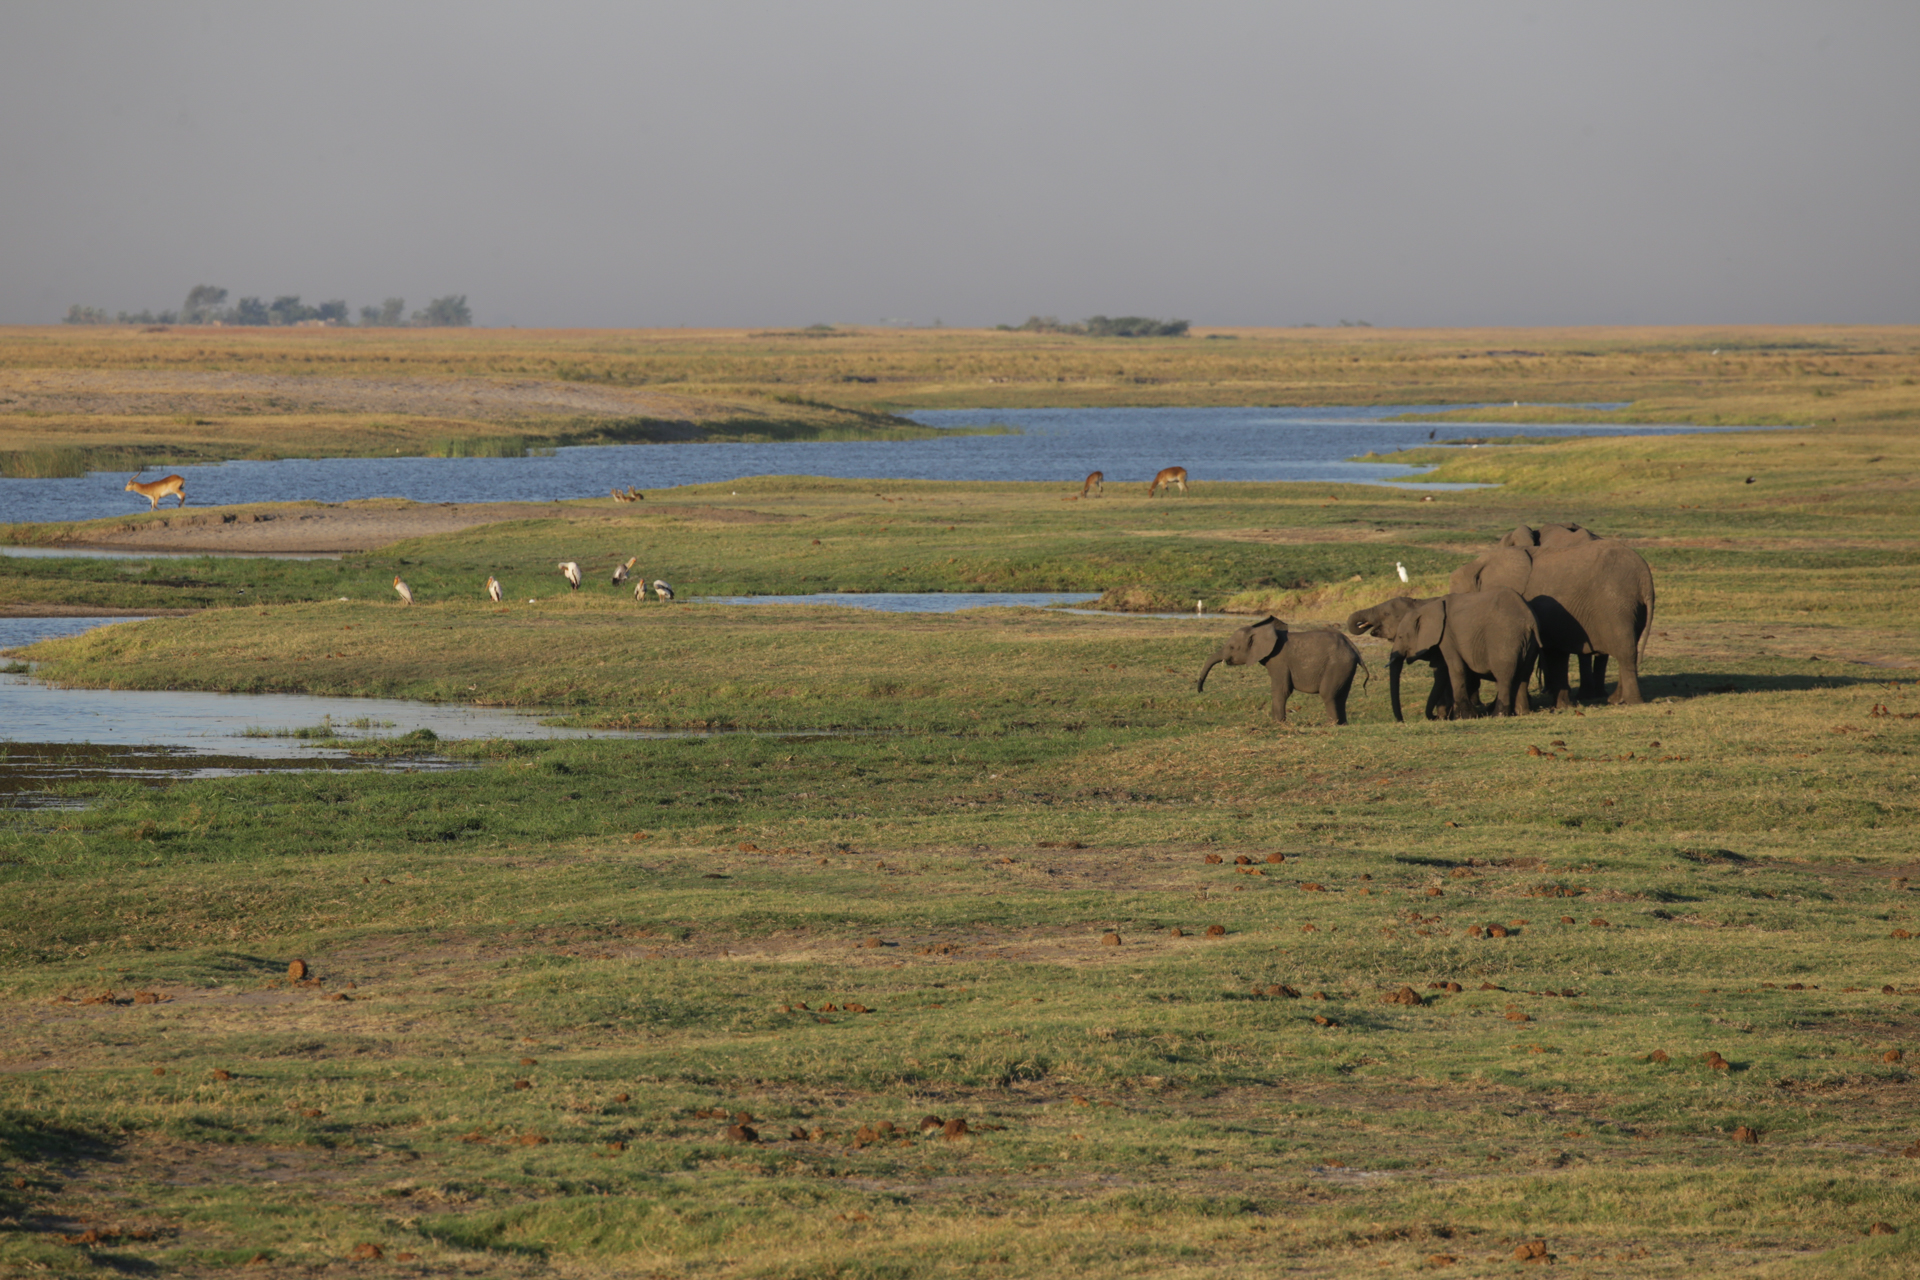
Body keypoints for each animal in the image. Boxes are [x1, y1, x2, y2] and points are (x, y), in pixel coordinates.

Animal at [1198, 617, 1367, 725]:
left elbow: (1282, 689)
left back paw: (1330, 725)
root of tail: (1353, 647)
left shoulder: (1279, 660)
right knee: (1341, 696)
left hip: (1337, 665)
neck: (1261, 631)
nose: (1200, 690)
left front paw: (1278, 723)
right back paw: (1342, 724)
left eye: (1232, 647)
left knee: (1328, 693)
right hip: (1345, 667)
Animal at [1351, 587, 1543, 721]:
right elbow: (1442, 672)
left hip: (1503, 638)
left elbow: (1453, 669)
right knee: (1523, 675)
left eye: (1386, 614)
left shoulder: (1446, 635)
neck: (1421, 605)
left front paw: (1463, 716)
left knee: (1504, 675)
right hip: (1529, 642)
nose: (1402, 720)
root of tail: (1529, 619)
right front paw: (1448, 715)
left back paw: (1498, 714)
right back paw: (1522, 712)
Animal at [1451, 533, 1651, 706]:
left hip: (1617, 604)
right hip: (1634, 608)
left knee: (1625, 651)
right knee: (1628, 647)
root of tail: (1644, 576)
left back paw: (1630, 701)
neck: (1479, 565)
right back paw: (1615, 699)